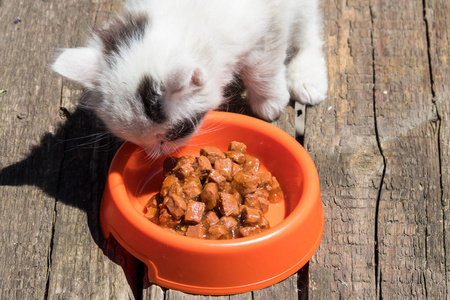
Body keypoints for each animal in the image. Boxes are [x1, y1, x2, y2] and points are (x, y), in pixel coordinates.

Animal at [52, 0, 326, 158]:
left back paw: (308, 77)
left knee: (308, 28)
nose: (156, 154)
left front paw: (269, 103)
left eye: (174, 134)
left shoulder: (271, 25)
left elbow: (263, 66)